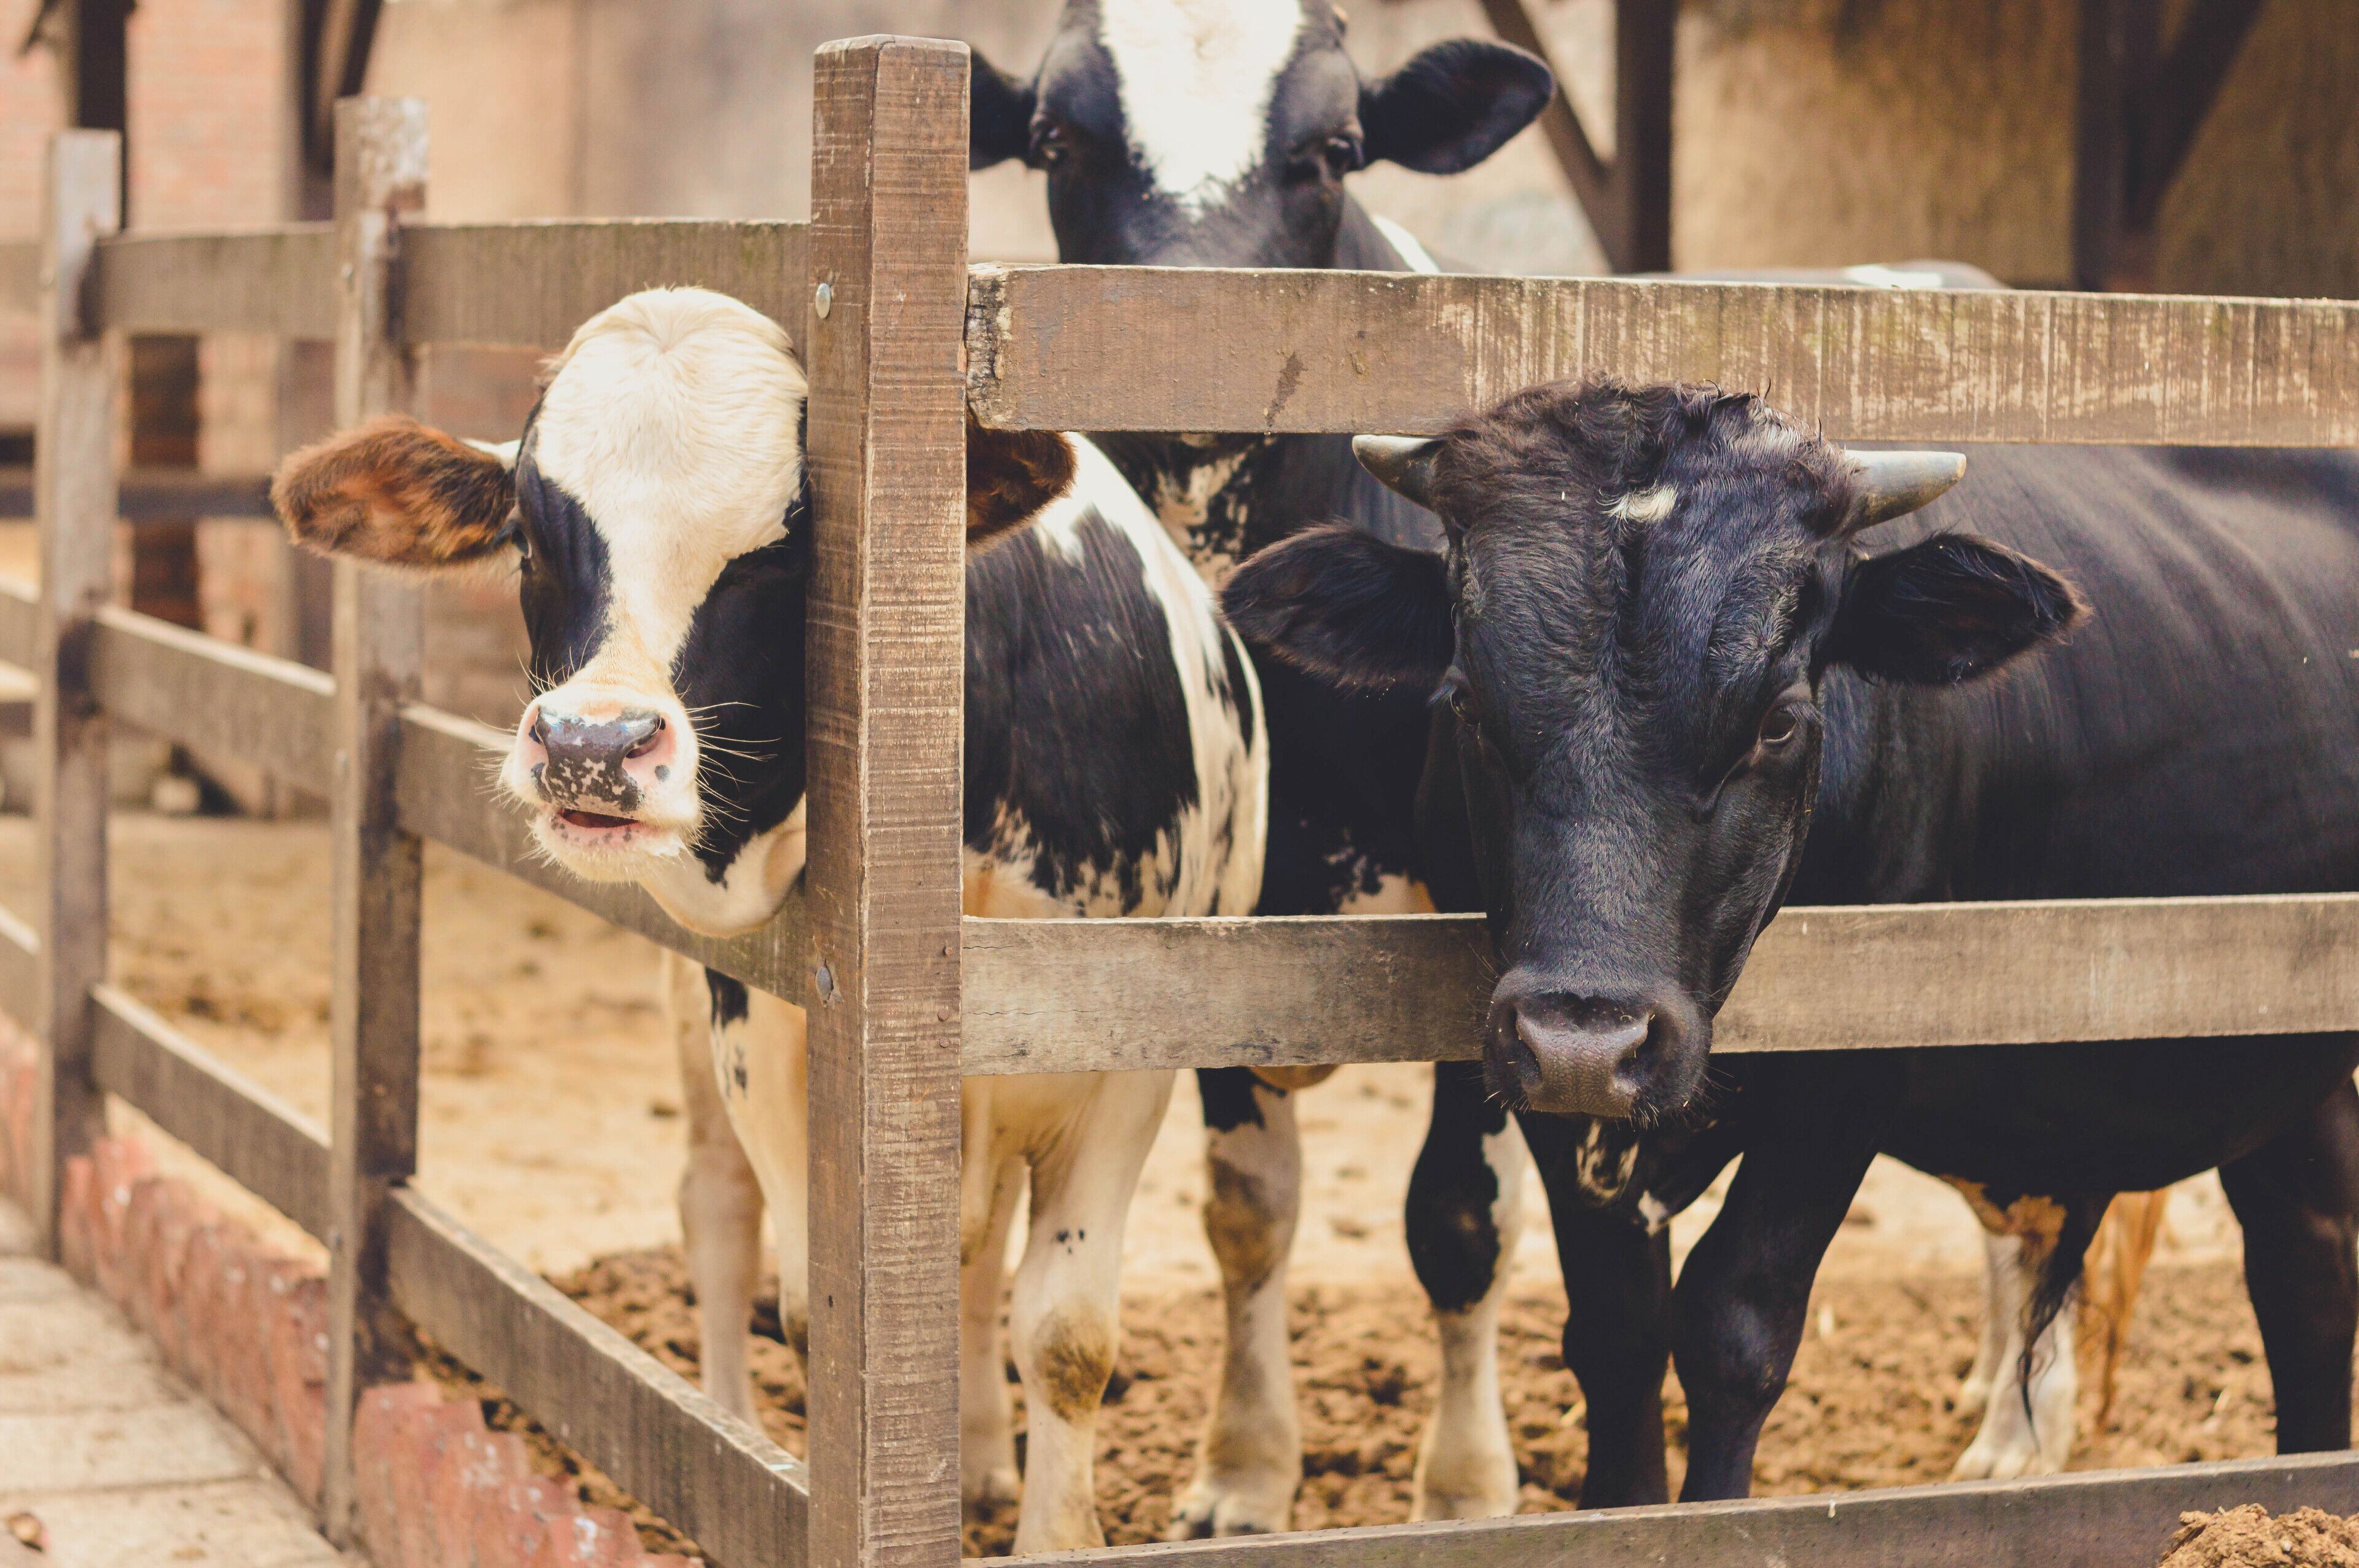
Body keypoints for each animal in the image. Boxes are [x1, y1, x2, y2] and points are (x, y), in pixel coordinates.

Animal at [271, 287, 1269, 1553]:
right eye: (533, 537)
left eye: (786, 556)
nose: (593, 748)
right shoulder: (765, 1036)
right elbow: (810, 1306)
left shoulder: (1132, 1054)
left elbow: (1067, 1334)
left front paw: (1049, 1526)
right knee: (718, 1204)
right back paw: (741, 1427)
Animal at [968, 0, 1557, 1528]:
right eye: (1057, 139)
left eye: (1335, 148)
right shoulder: (1217, 929)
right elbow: (1250, 1211)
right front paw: (1244, 1464)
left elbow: (1458, 1217)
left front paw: (1463, 1488)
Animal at [1219, 378, 2359, 1503]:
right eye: (1466, 705)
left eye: (1777, 720)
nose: (1591, 1040)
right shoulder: (1532, 1072)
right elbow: (1619, 1332)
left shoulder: (1851, 1072)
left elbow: (1734, 1328)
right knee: (2305, 1258)